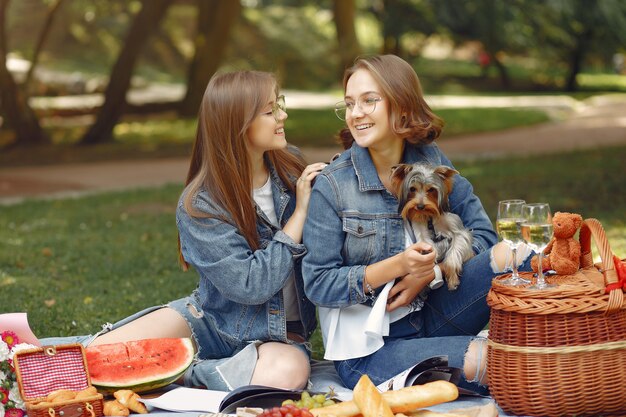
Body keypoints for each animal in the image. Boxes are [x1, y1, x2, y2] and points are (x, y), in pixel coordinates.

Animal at [390, 162, 472, 290]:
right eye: (412, 189)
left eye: (431, 189)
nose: (420, 206)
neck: (429, 217)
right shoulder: (420, 229)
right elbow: (426, 243)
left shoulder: (458, 230)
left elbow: (454, 252)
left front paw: (452, 278)